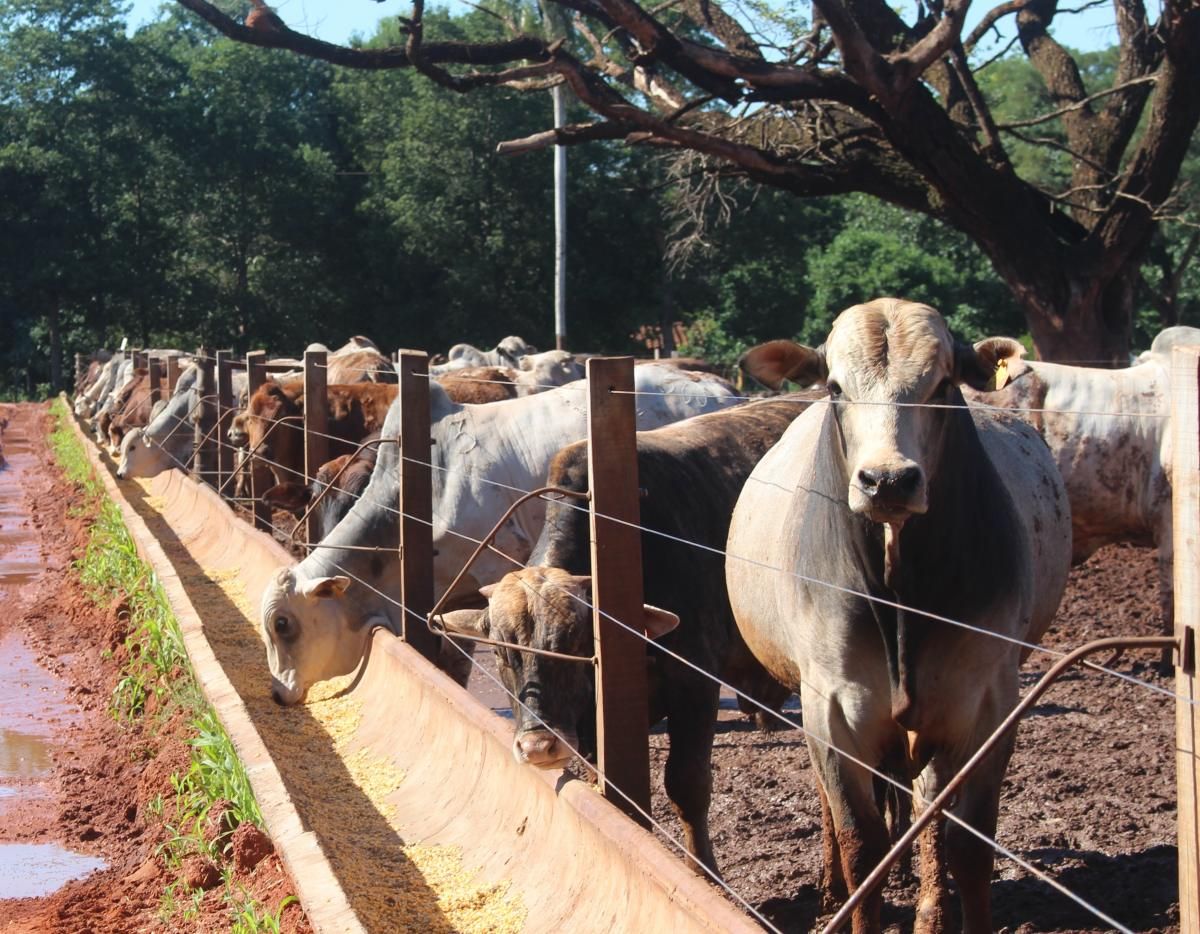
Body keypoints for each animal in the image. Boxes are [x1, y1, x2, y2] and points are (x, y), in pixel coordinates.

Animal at [436, 398, 811, 873]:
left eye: (576, 645)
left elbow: (687, 784)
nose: (539, 747)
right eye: (503, 655)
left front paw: (701, 866)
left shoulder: (695, 685)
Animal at [729, 300, 1070, 931]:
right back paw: (831, 891)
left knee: (924, 805)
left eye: (941, 385)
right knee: (838, 811)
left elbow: (966, 843)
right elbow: (860, 845)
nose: (887, 480)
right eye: (835, 387)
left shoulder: (986, 706)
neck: (900, 595)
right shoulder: (832, 709)